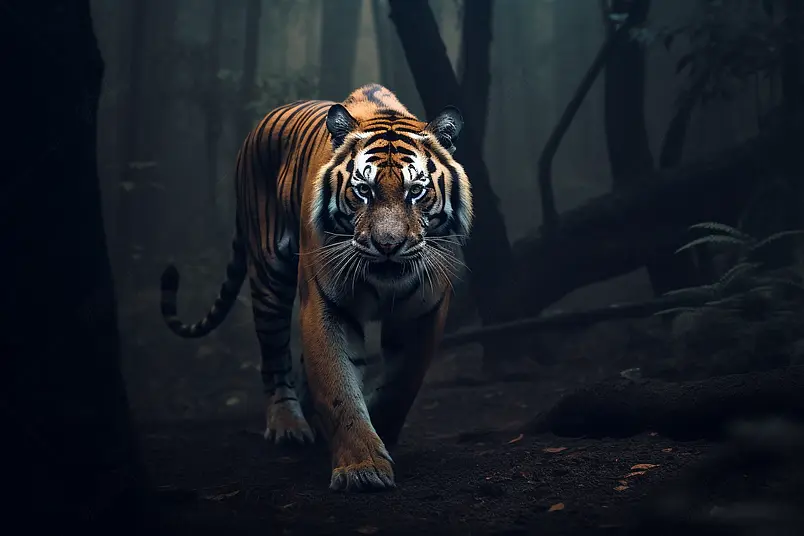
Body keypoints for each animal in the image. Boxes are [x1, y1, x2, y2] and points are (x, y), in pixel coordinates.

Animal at [159, 83, 473, 492]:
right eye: (364, 190)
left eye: (416, 191)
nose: (388, 245)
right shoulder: (325, 303)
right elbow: (338, 385)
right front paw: (362, 468)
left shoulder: (427, 308)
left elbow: (402, 383)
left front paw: (381, 429)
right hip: (269, 277)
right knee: (274, 358)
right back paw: (288, 426)